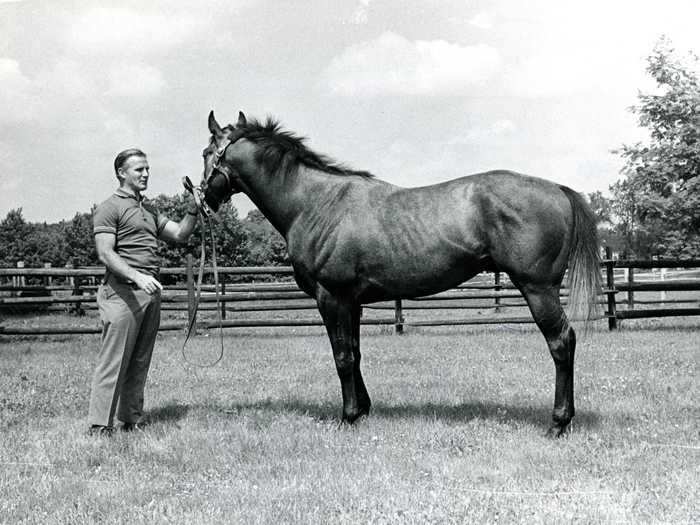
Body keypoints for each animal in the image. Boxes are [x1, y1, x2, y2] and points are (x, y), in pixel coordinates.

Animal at [198, 109, 600, 434]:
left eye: (205, 153)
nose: (203, 198)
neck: (315, 203)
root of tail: (558, 189)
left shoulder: (332, 297)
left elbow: (341, 356)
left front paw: (348, 418)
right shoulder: (353, 302)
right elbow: (355, 353)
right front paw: (363, 410)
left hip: (538, 289)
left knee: (561, 342)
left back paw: (558, 423)